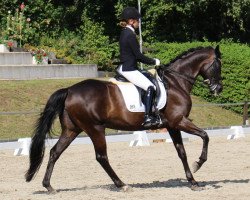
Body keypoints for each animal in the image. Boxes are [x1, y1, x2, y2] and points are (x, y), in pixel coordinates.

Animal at [24, 45, 223, 192]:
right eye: (218, 65)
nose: (218, 89)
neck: (175, 83)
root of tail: (70, 90)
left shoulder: (173, 126)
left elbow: (182, 152)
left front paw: (193, 181)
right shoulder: (179, 121)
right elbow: (205, 136)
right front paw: (198, 164)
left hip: (72, 129)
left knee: (54, 152)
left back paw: (48, 186)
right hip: (95, 128)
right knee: (101, 156)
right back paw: (122, 185)